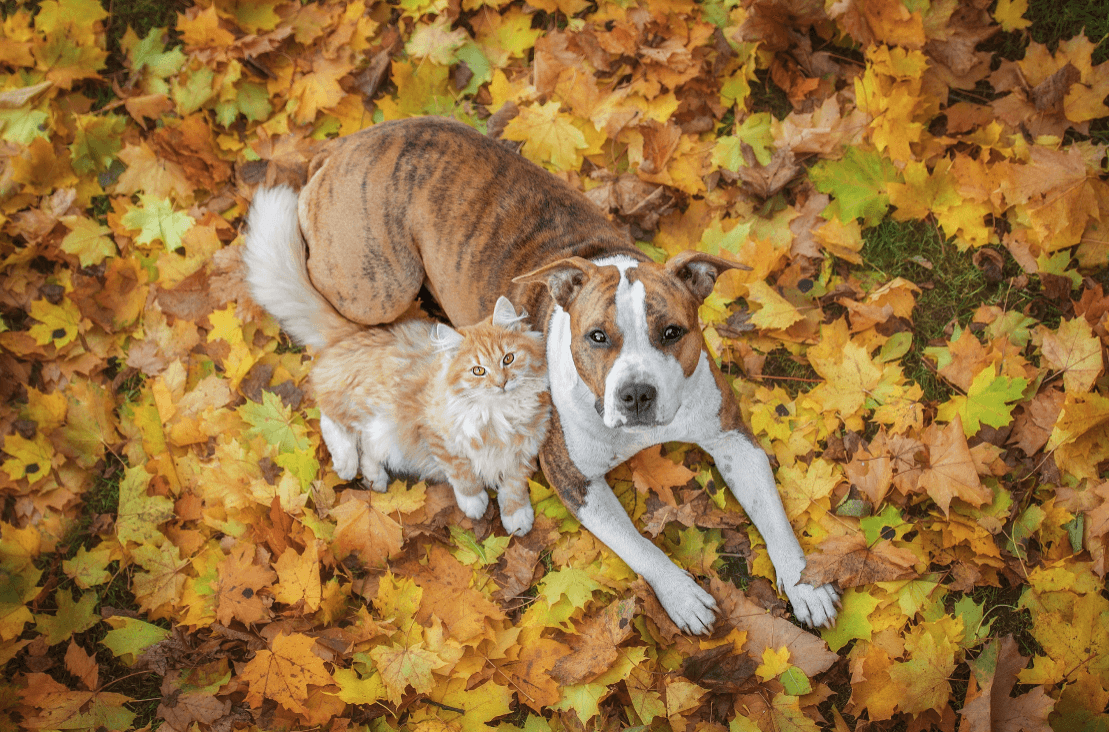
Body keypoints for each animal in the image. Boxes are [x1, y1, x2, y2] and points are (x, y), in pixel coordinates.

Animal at [245, 186, 552, 534]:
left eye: (508, 359)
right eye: (478, 370)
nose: (501, 383)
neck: (498, 417)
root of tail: (358, 331)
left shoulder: (524, 452)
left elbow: (514, 487)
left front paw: (517, 518)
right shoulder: (436, 434)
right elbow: (463, 474)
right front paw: (474, 504)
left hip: (382, 432)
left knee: (365, 447)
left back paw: (374, 478)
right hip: (366, 405)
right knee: (331, 419)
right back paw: (346, 464)